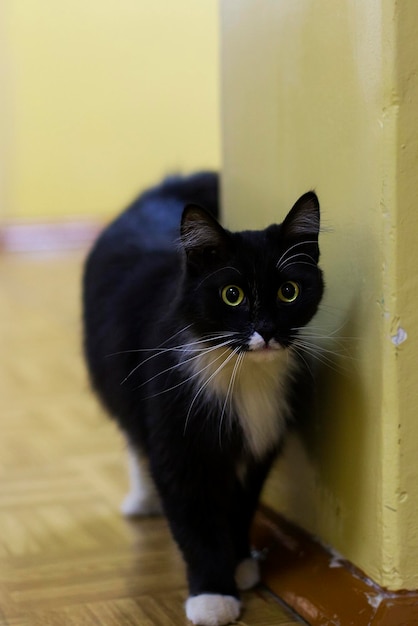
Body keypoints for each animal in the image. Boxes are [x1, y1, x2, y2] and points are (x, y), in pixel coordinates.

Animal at [81, 172, 324, 624]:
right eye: (232, 294)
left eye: (288, 291)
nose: (267, 330)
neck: (242, 372)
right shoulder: (179, 442)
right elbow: (194, 521)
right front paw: (213, 594)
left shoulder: (259, 438)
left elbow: (241, 505)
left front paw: (240, 561)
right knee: (135, 439)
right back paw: (141, 500)